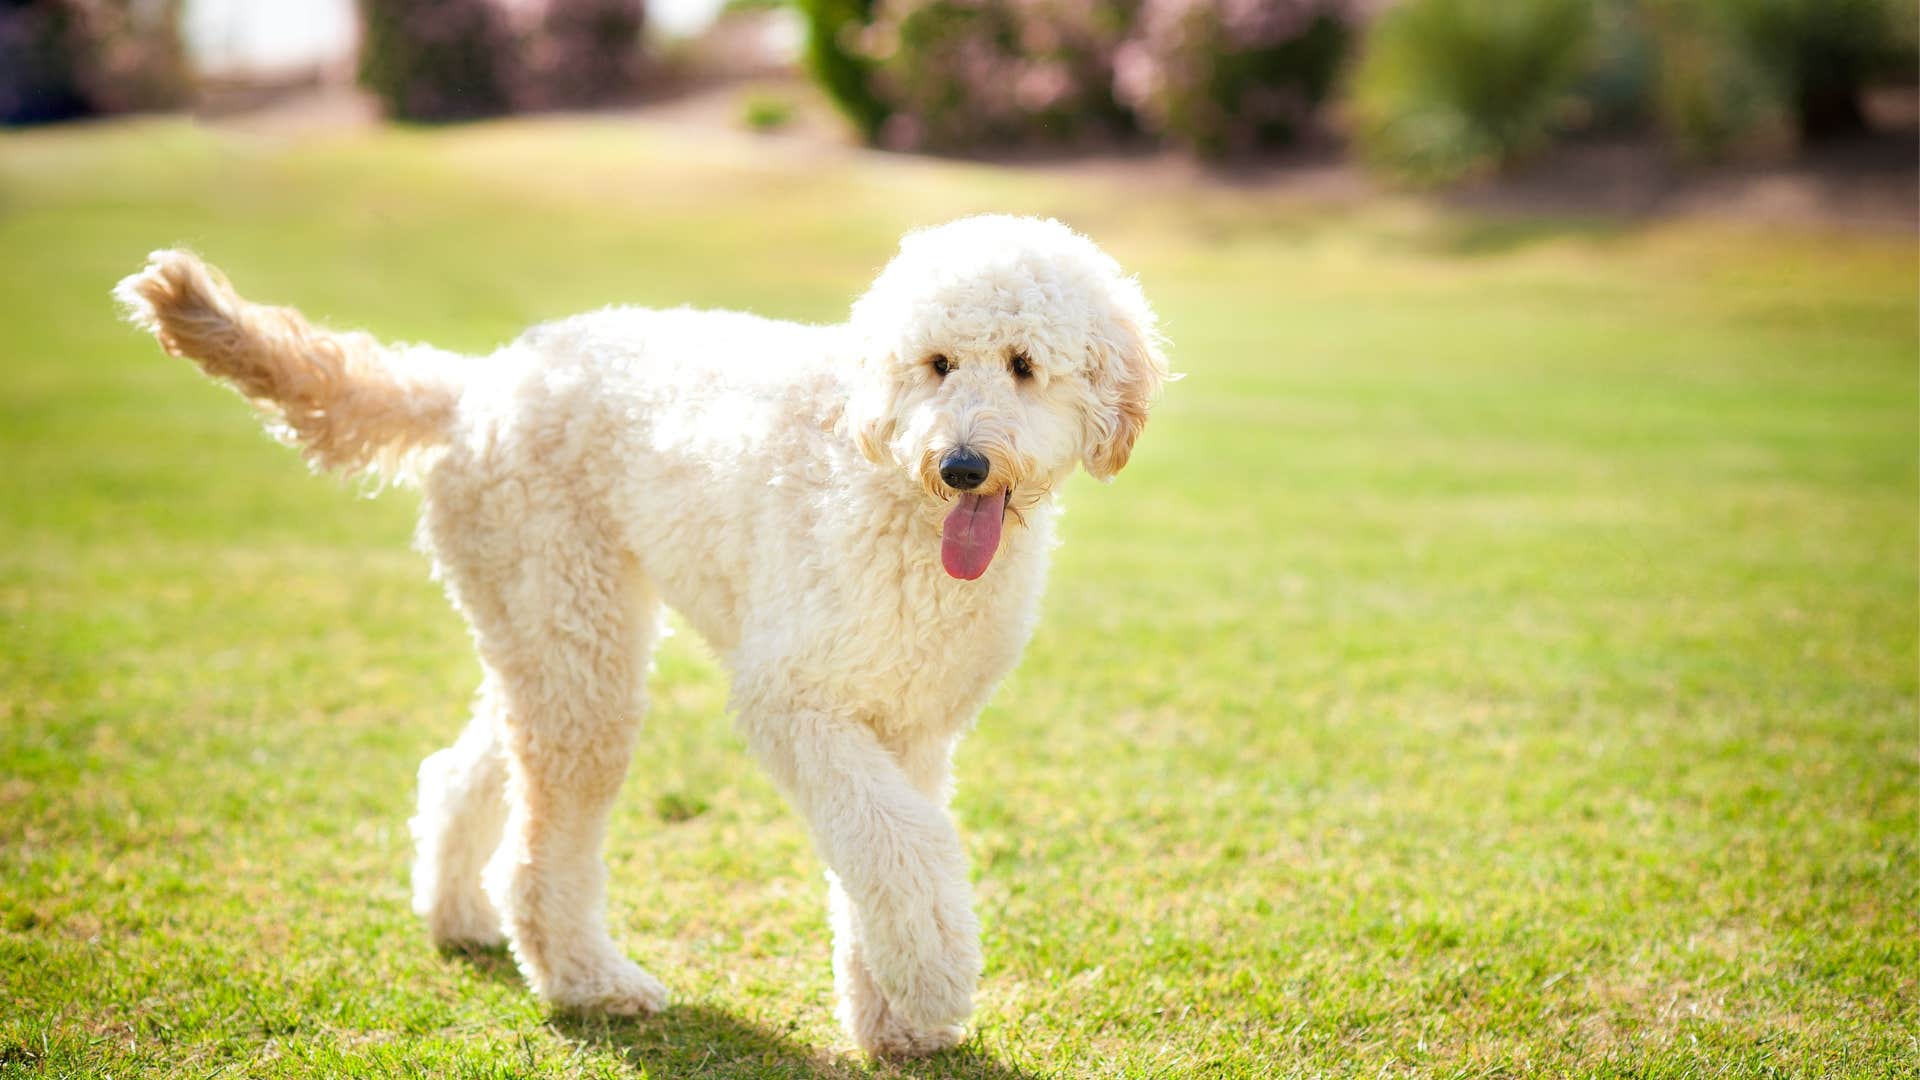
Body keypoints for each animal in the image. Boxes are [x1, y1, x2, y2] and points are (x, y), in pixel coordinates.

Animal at [120, 214, 1175, 1053]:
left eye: (1026, 366)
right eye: (938, 364)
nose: (960, 465)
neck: (889, 487)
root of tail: (476, 385)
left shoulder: (908, 727)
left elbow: (881, 858)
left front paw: (893, 1016)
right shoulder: (794, 700)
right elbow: (897, 850)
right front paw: (937, 975)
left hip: (548, 632)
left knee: (462, 769)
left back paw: (456, 914)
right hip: (577, 642)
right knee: (538, 852)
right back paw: (589, 982)